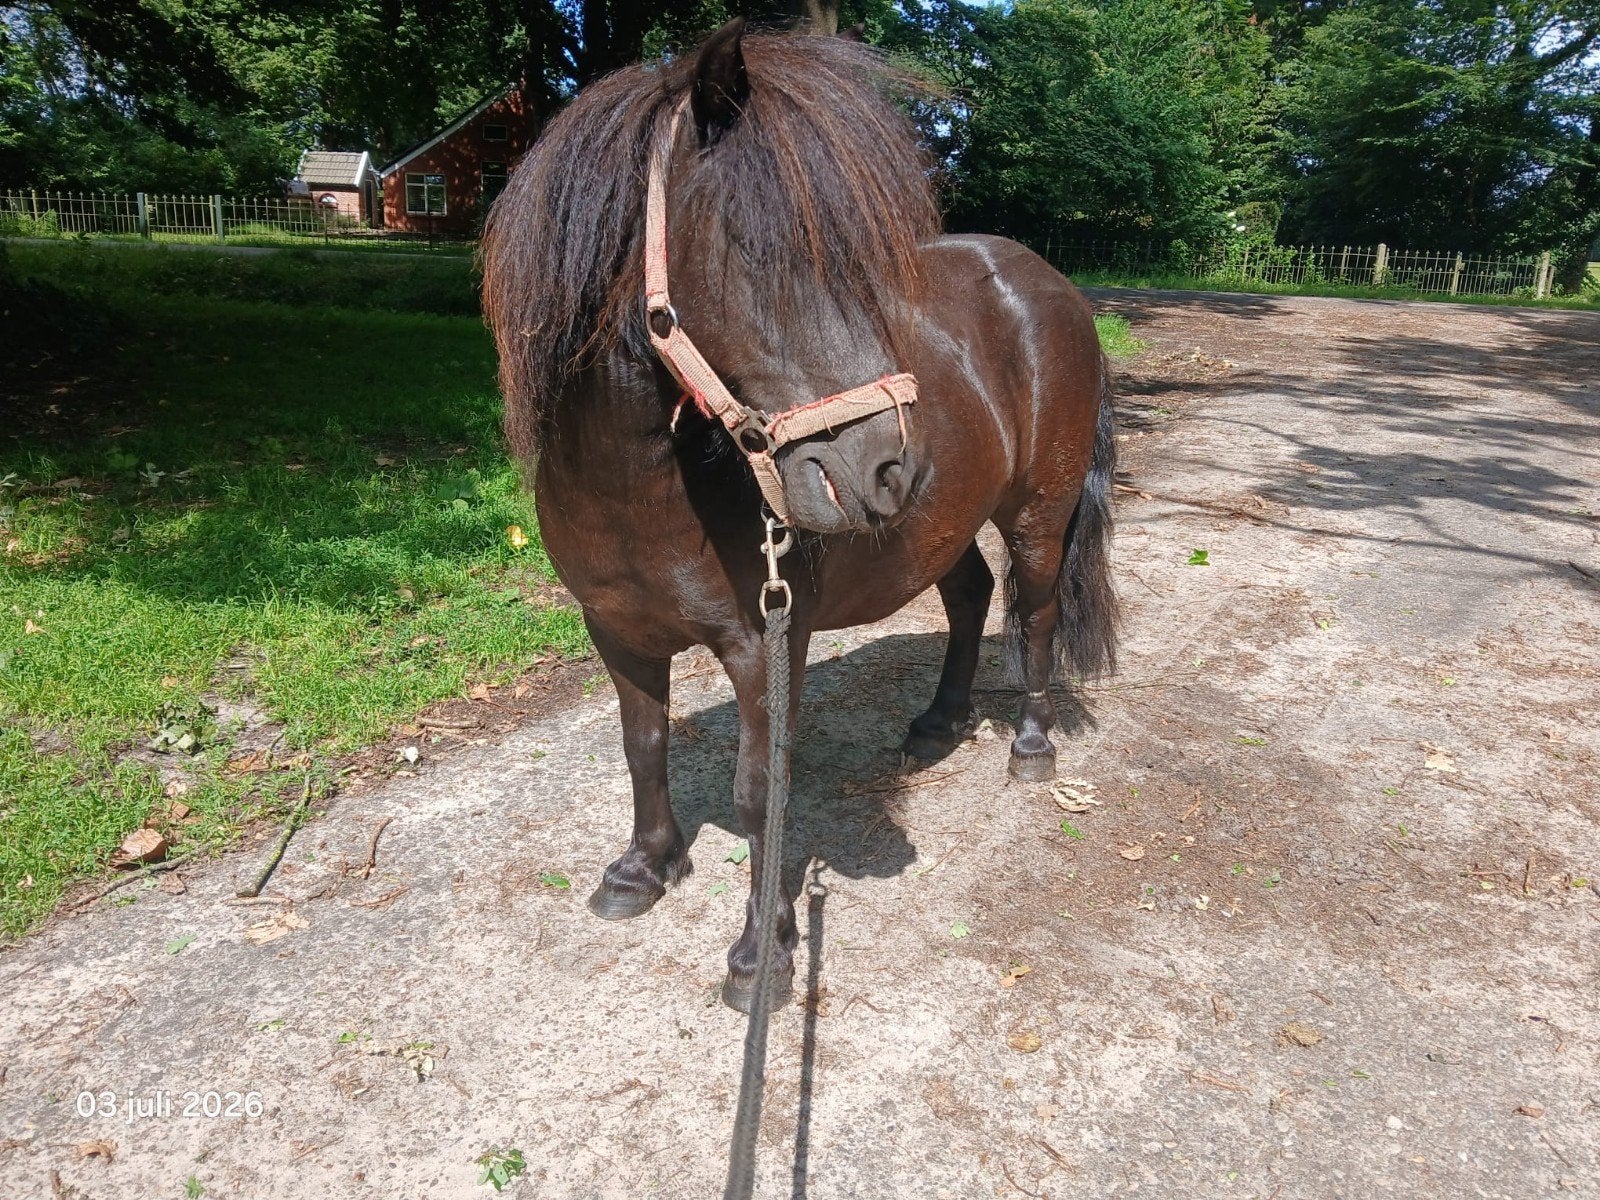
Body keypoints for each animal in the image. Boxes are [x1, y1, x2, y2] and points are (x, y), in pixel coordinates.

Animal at [481, 19, 1117, 1014]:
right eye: (758, 248)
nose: (889, 467)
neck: (641, 490)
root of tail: (1046, 281)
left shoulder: (764, 646)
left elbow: (758, 792)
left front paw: (761, 954)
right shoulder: (615, 630)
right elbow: (642, 744)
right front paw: (643, 869)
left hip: (1038, 517)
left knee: (1037, 612)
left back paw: (1030, 746)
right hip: (944, 523)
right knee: (970, 596)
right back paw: (939, 721)